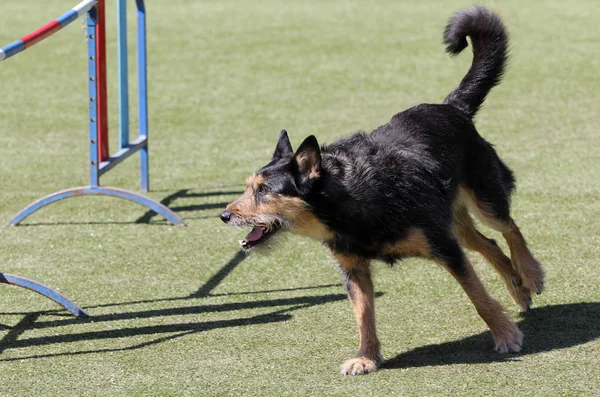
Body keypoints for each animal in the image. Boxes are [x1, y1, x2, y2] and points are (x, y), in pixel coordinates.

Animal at [220, 7, 544, 376]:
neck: (347, 201)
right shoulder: (353, 268)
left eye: (262, 190)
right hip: (454, 218)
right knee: (487, 242)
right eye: (248, 186)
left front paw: (504, 335)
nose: (225, 215)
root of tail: (452, 107)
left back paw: (530, 275)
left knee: (508, 227)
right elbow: (363, 314)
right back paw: (518, 289)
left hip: (483, 194)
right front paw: (366, 356)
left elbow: (477, 295)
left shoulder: (445, 246)